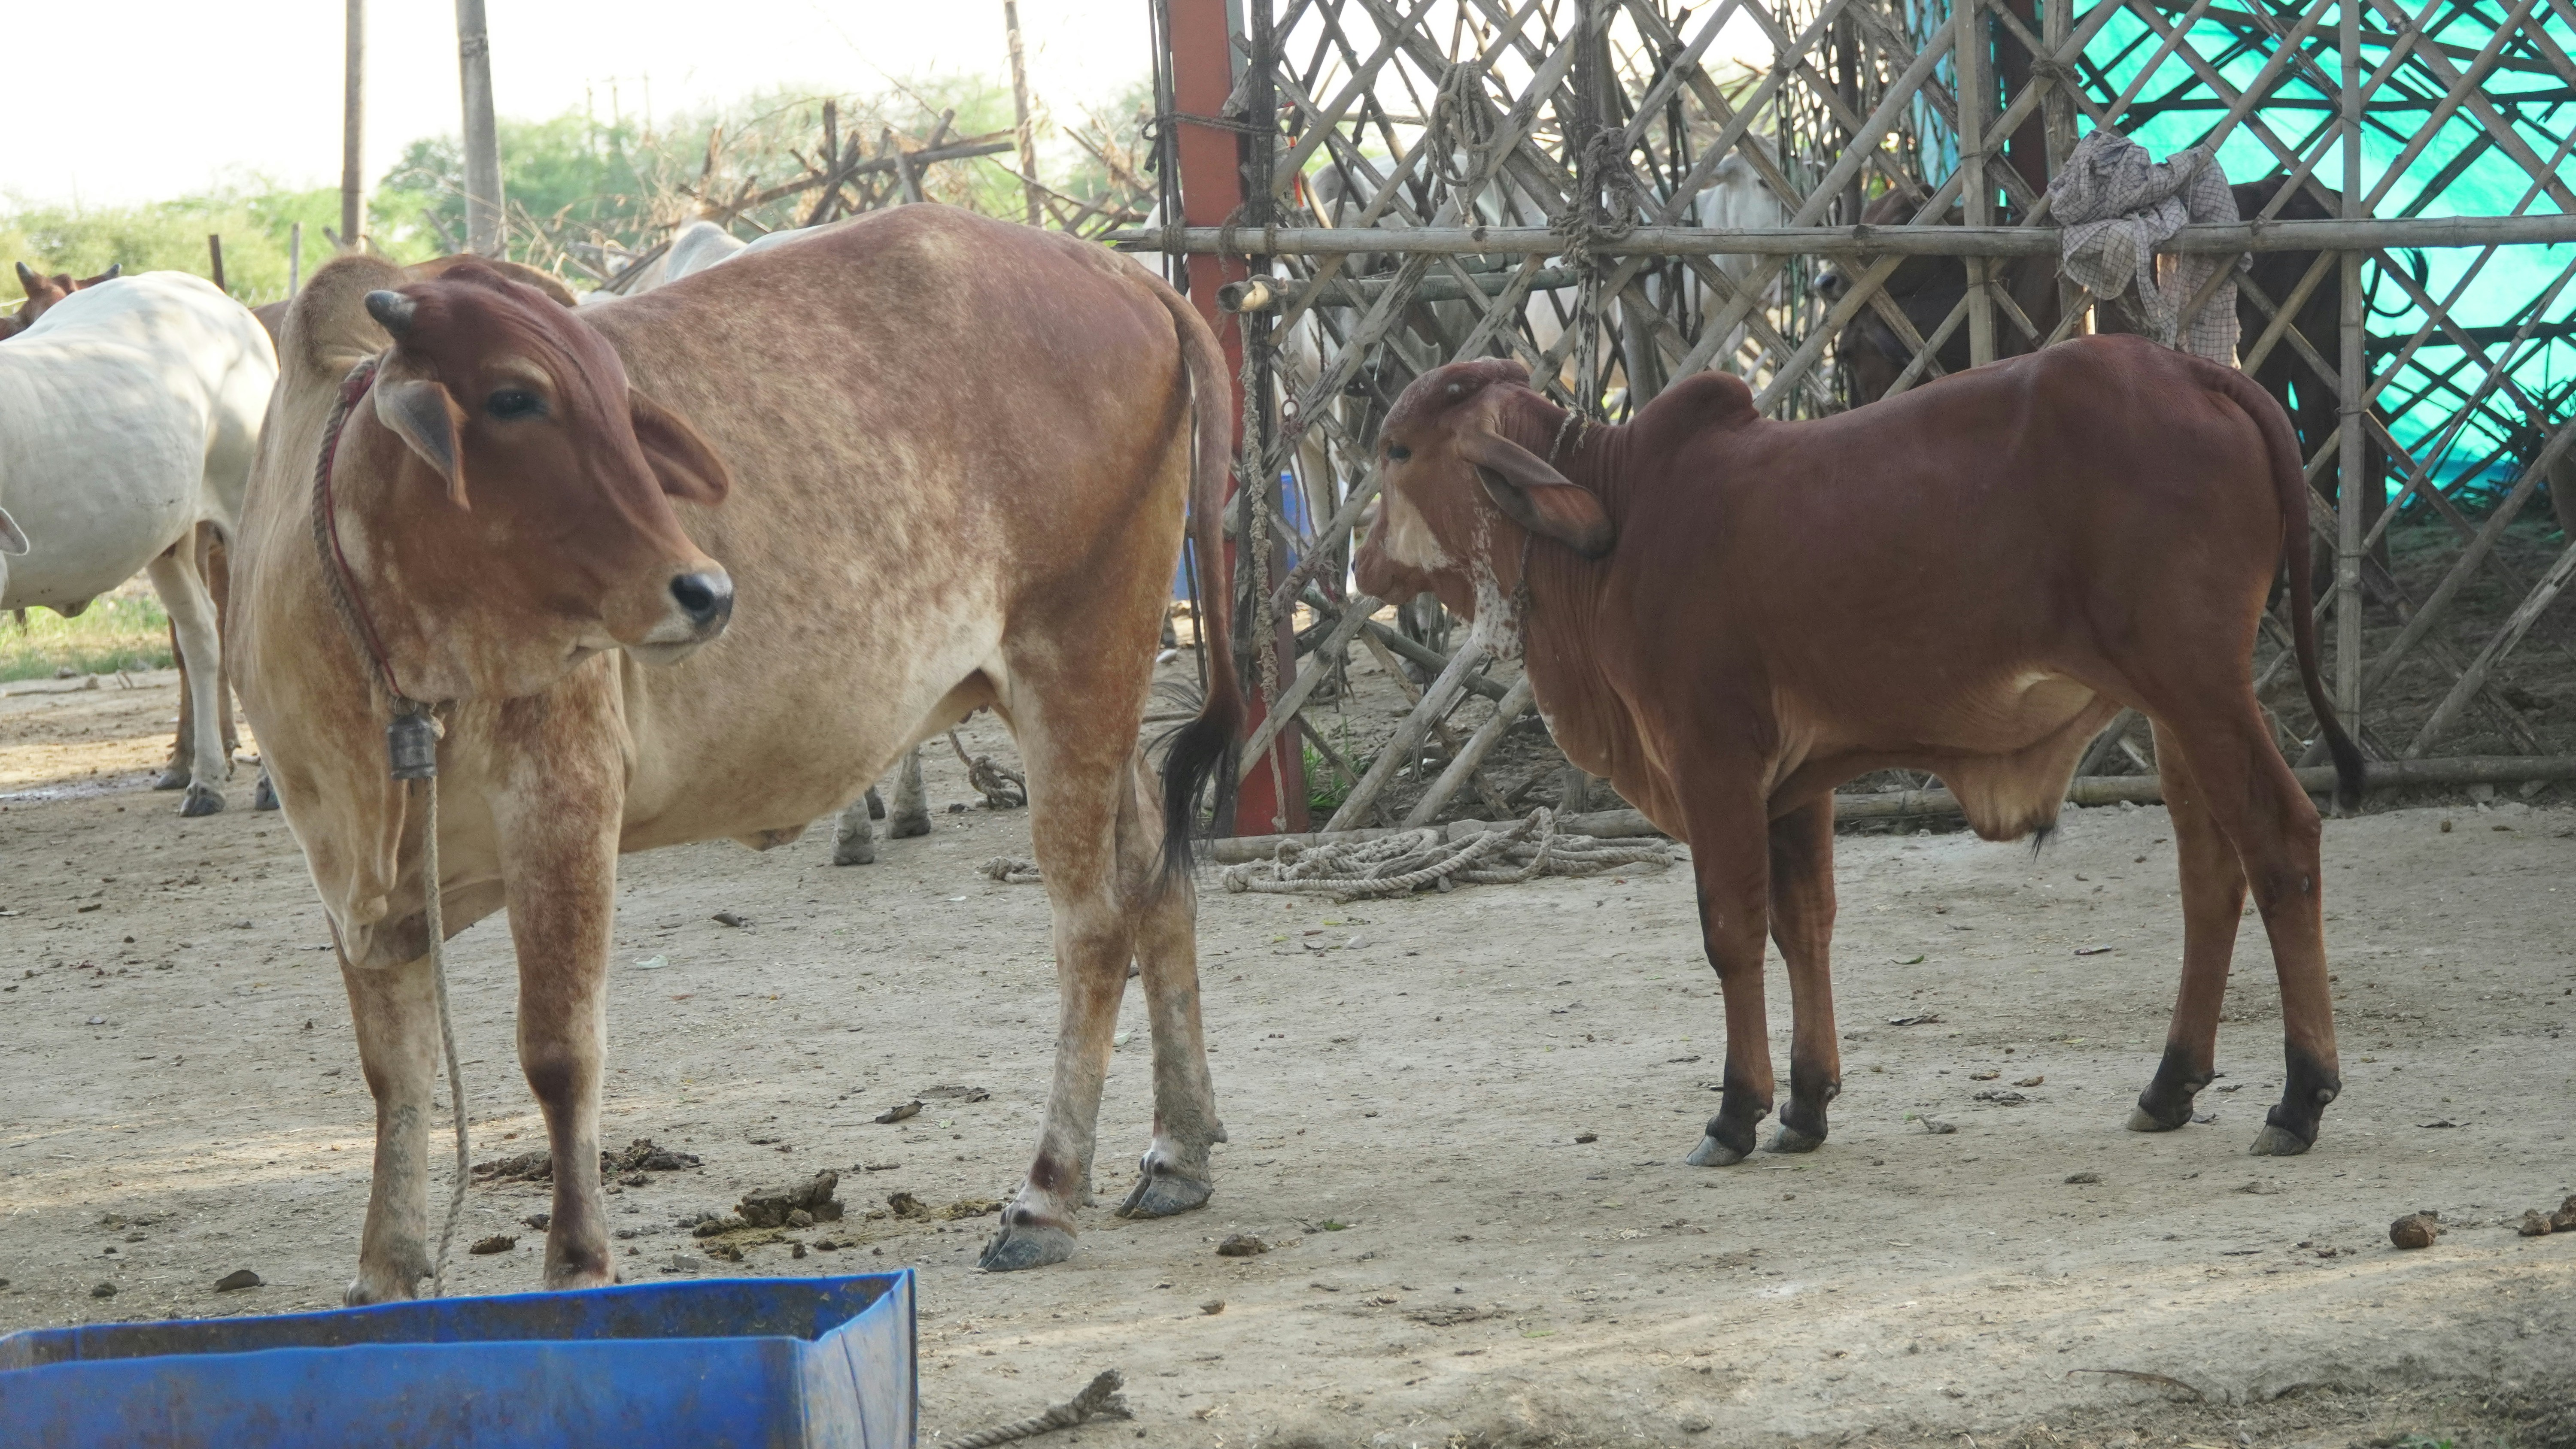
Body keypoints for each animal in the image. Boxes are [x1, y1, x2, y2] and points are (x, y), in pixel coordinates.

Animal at [229, 205, 1244, 1300]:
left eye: (616, 393)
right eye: (513, 396)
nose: (704, 590)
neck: (379, 637)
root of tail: (1124, 275)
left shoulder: (562, 802)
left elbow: (558, 1049)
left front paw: (577, 1259)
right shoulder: (348, 868)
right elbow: (395, 1070)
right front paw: (387, 1270)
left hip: (1078, 659)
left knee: (1093, 923)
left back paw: (1047, 1193)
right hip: (1090, 691)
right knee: (1158, 877)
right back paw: (1178, 1150)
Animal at [1351, 339, 2366, 1170]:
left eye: (1397, 450)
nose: (1360, 561)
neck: (1621, 520)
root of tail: (2195, 369)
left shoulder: (1714, 759)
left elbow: (1731, 931)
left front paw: (1736, 1112)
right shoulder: (1796, 785)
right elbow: (1803, 925)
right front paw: (1806, 1103)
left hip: (2199, 686)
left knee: (2282, 843)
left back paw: (2300, 1096)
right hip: (2174, 708)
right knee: (2211, 874)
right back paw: (2170, 1083)